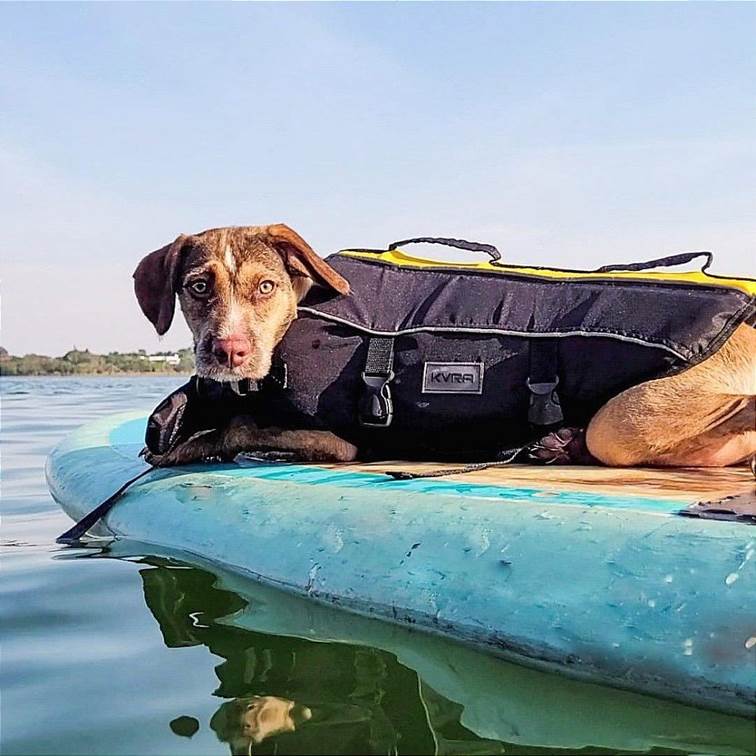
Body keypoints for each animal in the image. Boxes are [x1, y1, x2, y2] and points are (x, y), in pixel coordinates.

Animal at [133, 224, 752, 470]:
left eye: (265, 287)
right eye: (197, 287)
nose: (227, 352)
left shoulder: (336, 442)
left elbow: (238, 428)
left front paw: (184, 444)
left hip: (626, 419)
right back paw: (558, 442)